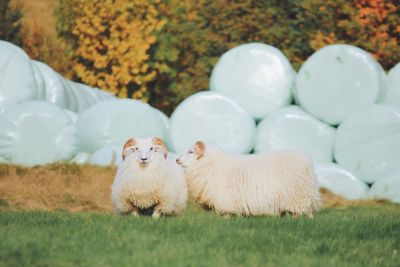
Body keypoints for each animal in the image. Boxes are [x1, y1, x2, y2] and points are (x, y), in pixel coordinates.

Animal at [177, 141, 320, 219]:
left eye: (191, 151)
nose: (177, 160)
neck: (212, 164)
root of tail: (308, 162)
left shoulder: (226, 200)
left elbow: (227, 215)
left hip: (297, 197)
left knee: (299, 214)